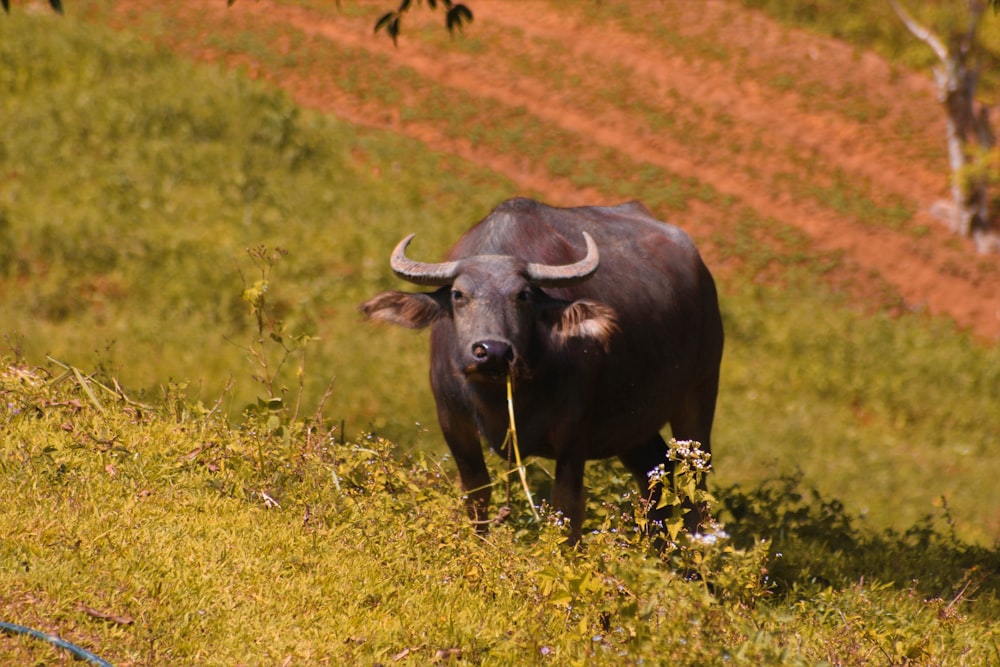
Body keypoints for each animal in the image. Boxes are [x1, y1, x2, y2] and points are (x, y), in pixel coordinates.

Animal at [364, 197, 724, 544]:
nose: (492, 352)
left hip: (701, 392)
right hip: (634, 427)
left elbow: (567, 512)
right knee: (656, 476)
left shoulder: (573, 436)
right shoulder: (453, 421)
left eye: (522, 295)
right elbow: (477, 497)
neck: (501, 397)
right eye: (458, 294)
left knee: (695, 486)